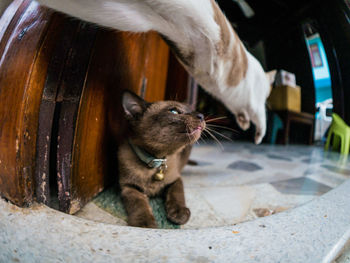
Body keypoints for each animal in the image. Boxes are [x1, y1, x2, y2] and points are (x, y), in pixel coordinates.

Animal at [117, 91, 205, 229]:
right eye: (174, 111)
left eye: (190, 111)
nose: (201, 115)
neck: (155, 161)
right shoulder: (129, 187)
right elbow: (138, 203)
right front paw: (145, 223)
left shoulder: (175, 179)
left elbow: (177, 194)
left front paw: (179, 214)